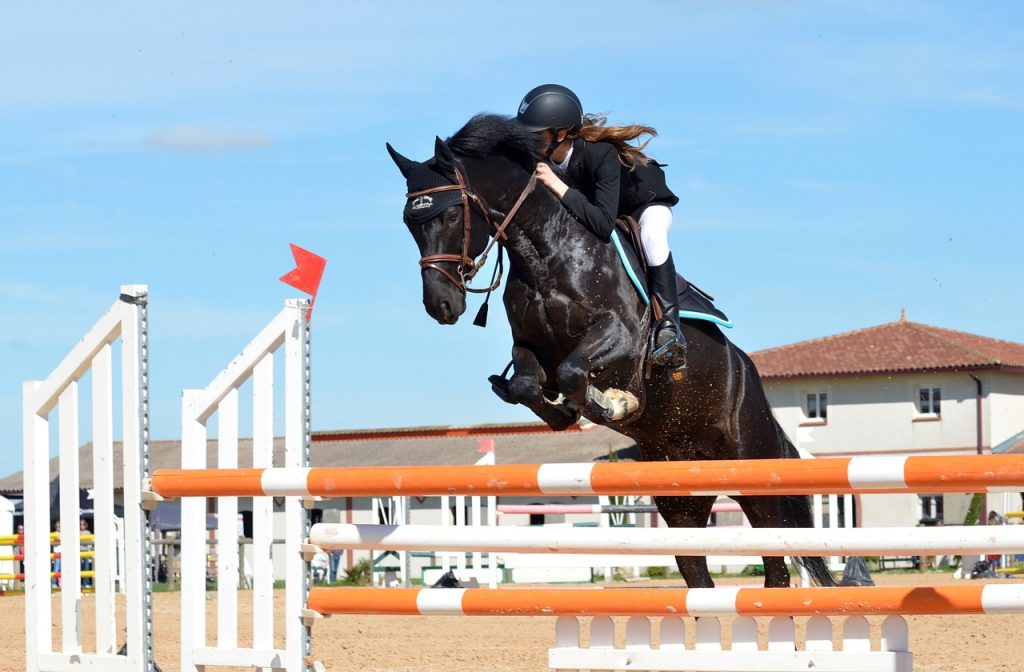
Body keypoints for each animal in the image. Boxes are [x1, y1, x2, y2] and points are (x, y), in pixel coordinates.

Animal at [387, 115, 835, 590]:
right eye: (410, 223)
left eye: (453, 213)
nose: (440, 305)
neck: (545, 251)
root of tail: (749, 373)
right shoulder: (530, 348)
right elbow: (529, 384)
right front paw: (566, 413)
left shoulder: (620, 337)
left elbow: (574, 372)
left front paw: (615, 403)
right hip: (681, 497)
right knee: (698, 573)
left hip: (754, 472)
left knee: (776, 566)